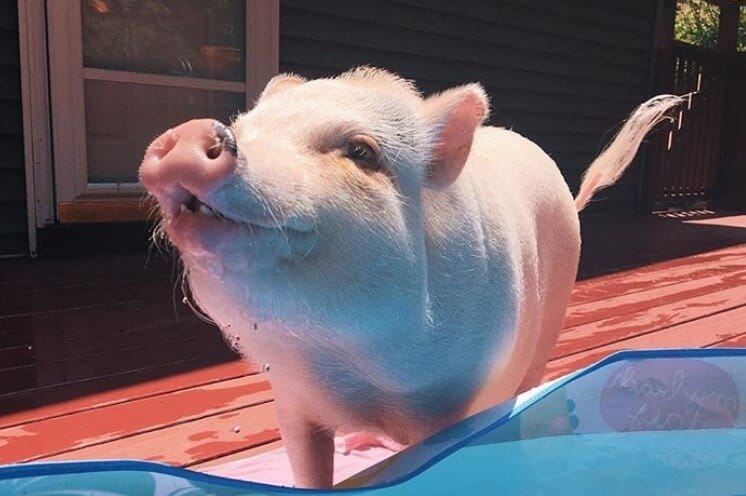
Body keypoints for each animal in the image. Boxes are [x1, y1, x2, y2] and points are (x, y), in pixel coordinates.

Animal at [139, 67, 681, 488]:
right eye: (246, 127)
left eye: (361, 152)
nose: (189, 133)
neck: (355, 368)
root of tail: (570, 195)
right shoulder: (292, 398)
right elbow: (309, 467)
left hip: (552, 316)